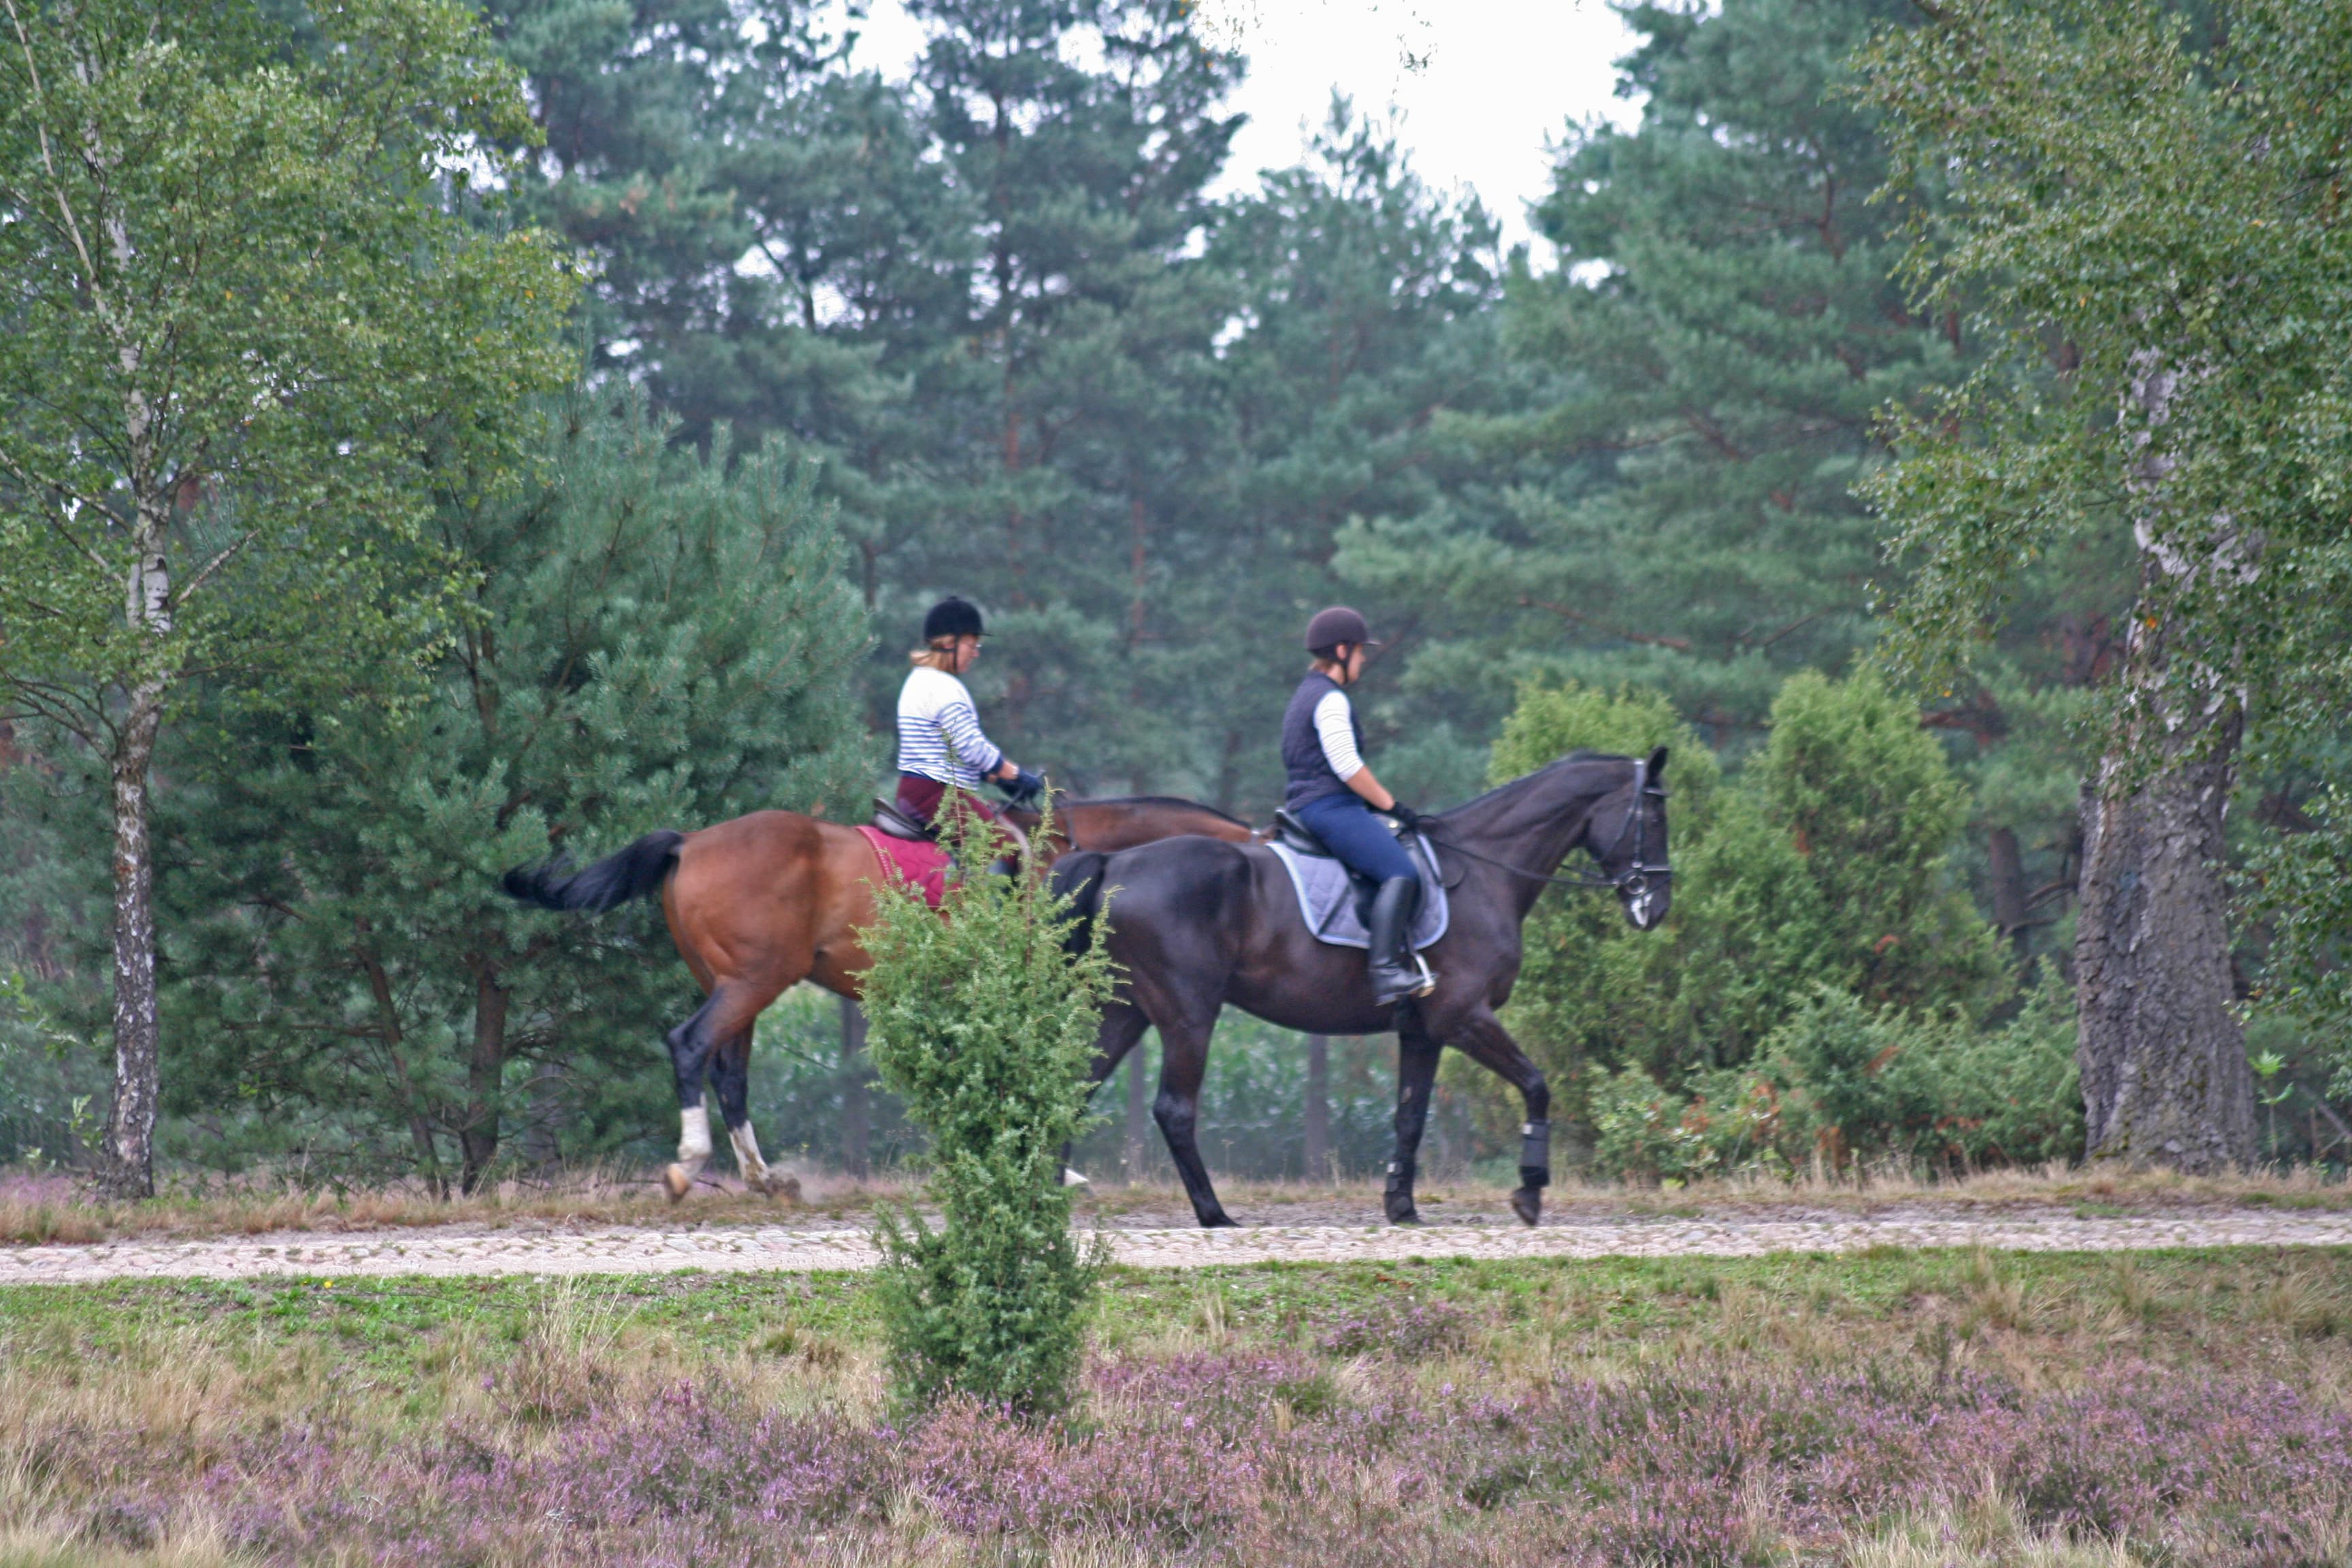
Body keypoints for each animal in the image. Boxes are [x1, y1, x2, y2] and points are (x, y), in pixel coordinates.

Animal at [506, 789, 1260, 1213]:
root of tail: (690, 842)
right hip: (753, 981)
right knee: (690, 1047)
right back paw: (690, 1163)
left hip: (735, 984)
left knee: (730, 1073)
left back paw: (764, 1178)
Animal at [1049, 752, 1674, 1232]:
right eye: (1653, 813)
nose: (1656, 906)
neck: (1483, 872)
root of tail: (1114, 863)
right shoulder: (1464, 1018)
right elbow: (1537, 1085)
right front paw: (1530, 1192)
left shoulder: (1423, 1032)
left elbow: (1410, 1117)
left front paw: (1402, 1207)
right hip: (1188, 1018)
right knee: (1174, 1110)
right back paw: (1214, 1214)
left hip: (1124, 1012)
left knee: (1072, 1093)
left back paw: (1051, 1195)